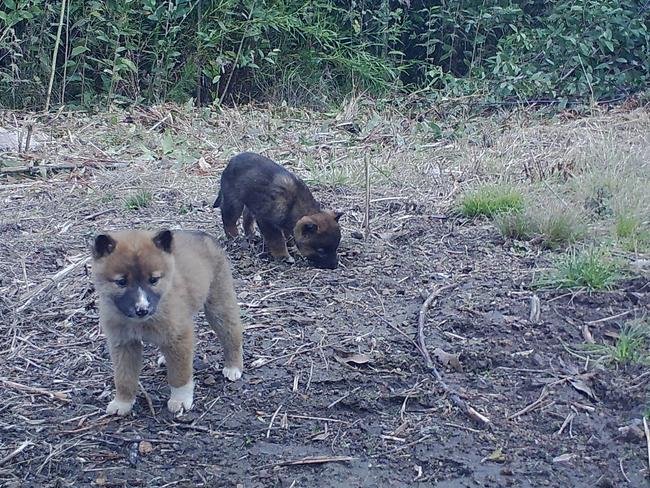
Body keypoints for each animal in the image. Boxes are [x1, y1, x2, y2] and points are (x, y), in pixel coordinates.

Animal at [91, 229, 243, 416]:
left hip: (219, 306)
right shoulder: (123, 343)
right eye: (121, 282)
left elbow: (179, 375)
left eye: (153, 280)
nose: (142, 309)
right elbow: (123, 377)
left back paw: (233, 367)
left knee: (232, 335)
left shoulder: (179, 336)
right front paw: (123, 402)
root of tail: (202, 234)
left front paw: (180, 399)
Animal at [214, 152, 344, 268]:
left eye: (335, 248)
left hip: (251, 201)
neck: (297, 205)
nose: (334, 266)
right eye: (321, 251)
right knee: (228, 220)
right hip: (234, 202)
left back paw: (250, 234)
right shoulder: (267, 222)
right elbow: (277, 240)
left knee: (247, 215)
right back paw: (234, 238)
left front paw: (291, 245)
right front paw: (283, 256)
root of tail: (230, 162)